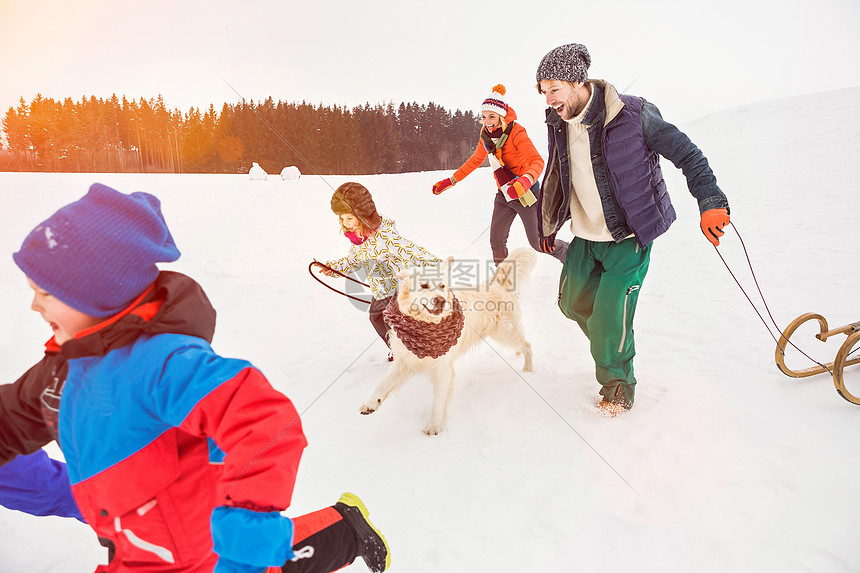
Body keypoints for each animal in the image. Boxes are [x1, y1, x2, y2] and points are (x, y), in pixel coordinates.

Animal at [358, 247, 536, 434]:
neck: (425, 324)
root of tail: (495, 283)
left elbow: (438, 402)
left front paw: (433, 427)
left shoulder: (442, 368)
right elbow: (383, 384)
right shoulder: (405, 360)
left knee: (527, 345)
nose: (441, 300)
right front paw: (371, 404)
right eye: (424, 286)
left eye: (443, 286)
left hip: (505, 332)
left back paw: (528, 369)